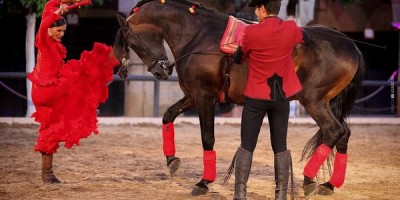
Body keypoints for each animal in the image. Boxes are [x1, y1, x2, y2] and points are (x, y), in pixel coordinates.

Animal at [112, 0, 366, 197]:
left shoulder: (205, 97)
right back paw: (329, 184)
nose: (162, 71)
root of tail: (350, 45)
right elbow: (167, 116)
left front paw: (203, 182)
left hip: (312, 101)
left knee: (334, 131)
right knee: (344, 134)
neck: (198, 34)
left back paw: (309, 180)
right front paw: (171, 160)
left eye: (133, 43)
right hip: (324, 102)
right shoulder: (193, 95)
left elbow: (207, 138)